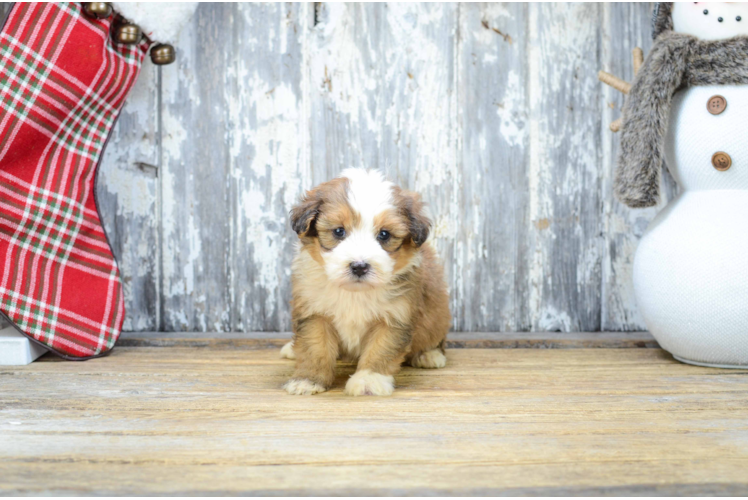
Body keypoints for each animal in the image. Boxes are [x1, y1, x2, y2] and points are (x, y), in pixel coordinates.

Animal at [282, 170, 450, 396]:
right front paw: (307, 379)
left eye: (384, 234)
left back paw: (429, 354)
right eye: (338, 231)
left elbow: (380, 349)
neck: (354, 292)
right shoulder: (314, 312)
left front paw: (369, 380)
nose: (359, 266)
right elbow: (314, 348)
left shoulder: (395, 317)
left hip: (439, 312)